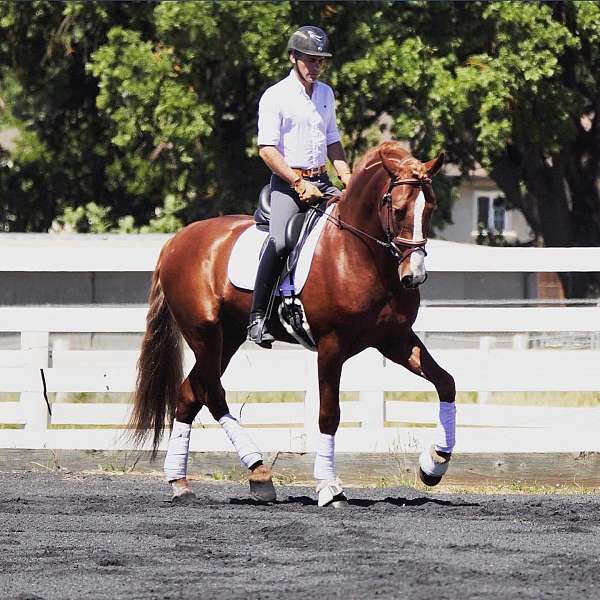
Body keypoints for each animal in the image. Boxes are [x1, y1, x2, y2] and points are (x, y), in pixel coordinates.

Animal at [127, 139, 454, 506]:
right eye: (398, 210)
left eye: (430, 209)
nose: (414, 276)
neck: (360, 255)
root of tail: (175, 242)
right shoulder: (331, 346)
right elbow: (329, 414)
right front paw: (330, 487)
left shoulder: (394, 339)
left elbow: (446, 383)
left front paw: (434, 465)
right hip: (204, 335)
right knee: (212, 394)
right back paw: (258, 472)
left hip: (227, 338)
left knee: (189, 395)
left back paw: (181, 482)